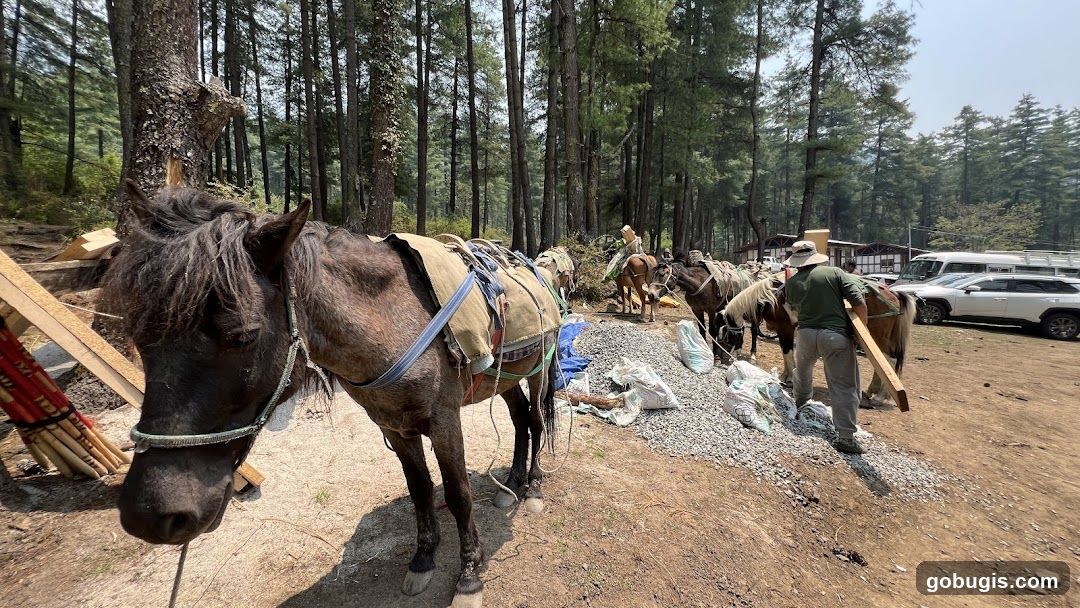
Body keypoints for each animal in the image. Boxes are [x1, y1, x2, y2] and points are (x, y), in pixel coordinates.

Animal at [105, 185, 560, 608]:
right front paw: (422, 559)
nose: (152, 515)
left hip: (539, 369)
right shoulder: (394, 427)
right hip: (508, 378)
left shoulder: (443, 420)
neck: (394, 319)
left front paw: (468, 575)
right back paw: (513, 481)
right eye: (138, 337)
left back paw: (533, 488)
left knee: (537, 418)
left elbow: (458, 494)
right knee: (520, 418)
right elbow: (420, 490)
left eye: (244, 336)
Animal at [720, 274, 916, 404]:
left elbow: (788, 353)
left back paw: (881, 396)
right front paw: (785, 376)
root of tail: (894, 294)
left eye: (726, 334)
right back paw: (870, 392)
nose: (726, 359)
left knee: (889, 361)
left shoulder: (786, 329)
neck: (773, 297)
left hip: (877, 336)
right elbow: (786, 354)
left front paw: (789, 378)